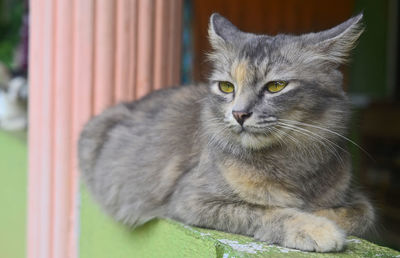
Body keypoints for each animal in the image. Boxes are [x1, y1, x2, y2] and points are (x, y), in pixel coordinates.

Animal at [79, 13, 376, 252]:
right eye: (226, 87)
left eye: (276, 86)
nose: (239, 114)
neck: (291, 162)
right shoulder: (191, 200)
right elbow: (267, 211)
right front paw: (315, 227)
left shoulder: (356, 197)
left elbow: (361, 214)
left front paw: (322, 216)